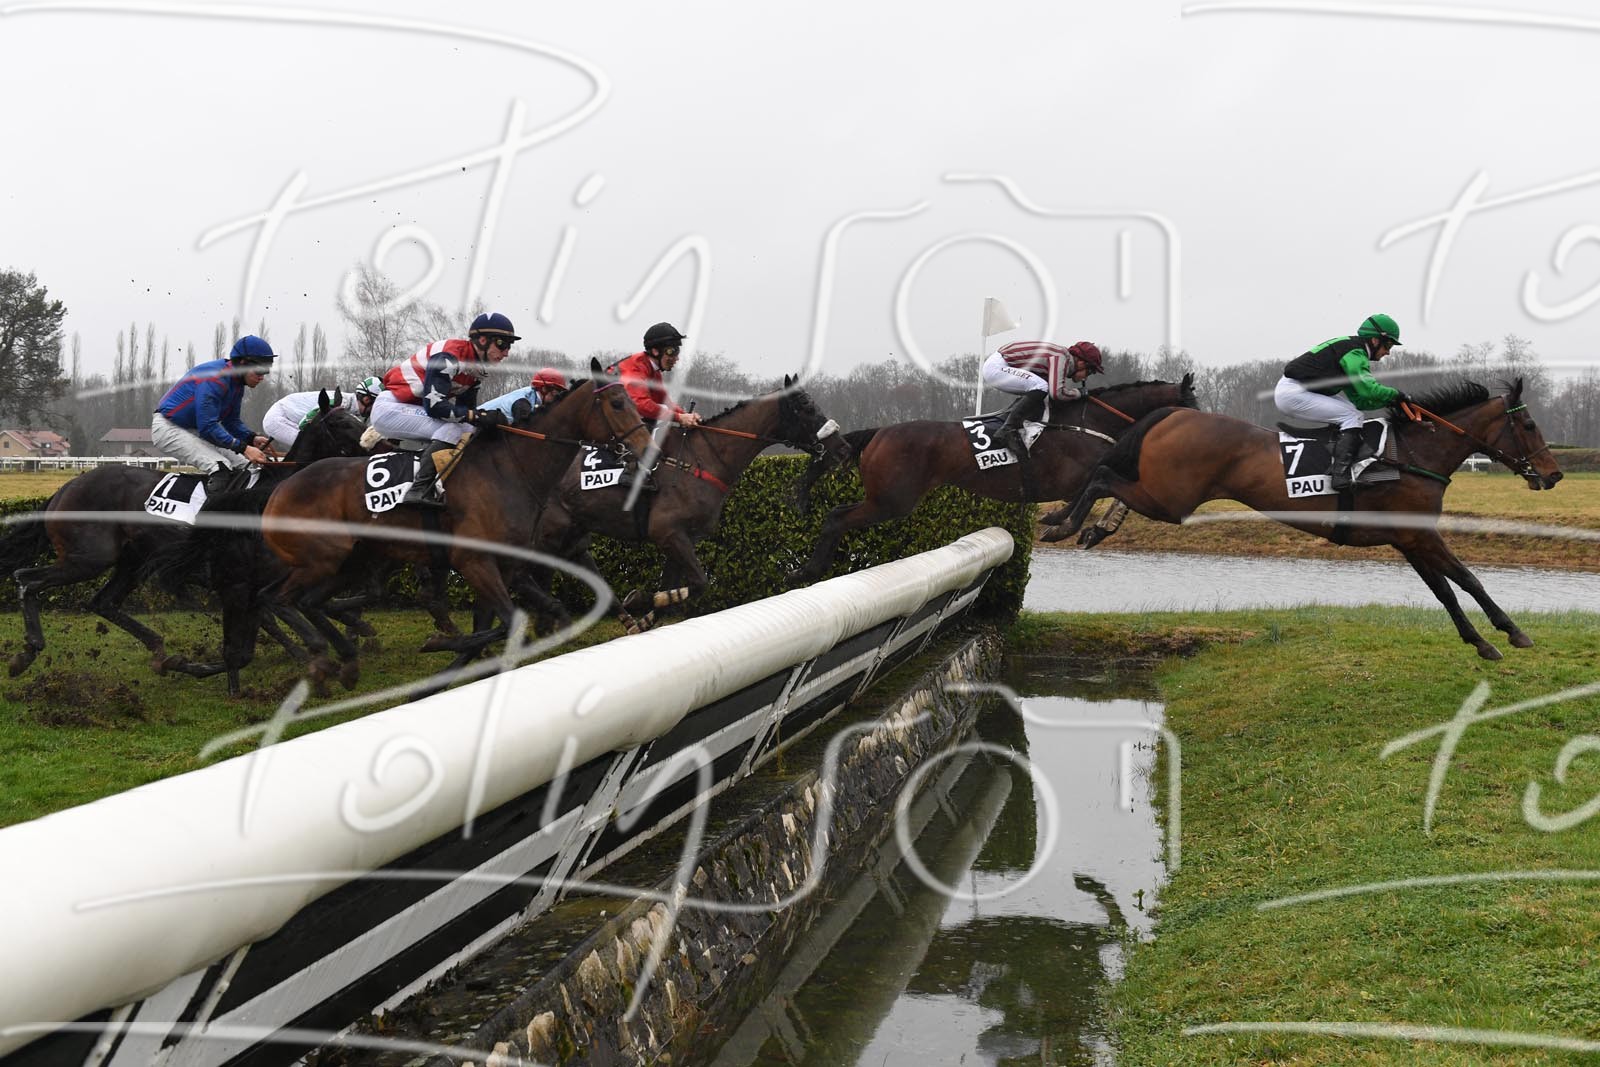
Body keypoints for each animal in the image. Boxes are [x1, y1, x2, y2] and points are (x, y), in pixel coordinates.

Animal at [1, 391, 368, 679]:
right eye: (340, 423)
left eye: (356, 418)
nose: (376, 445)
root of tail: (67, 487)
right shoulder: (245, 580)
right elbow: (277, 621)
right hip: (88, 557)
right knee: (26, 579)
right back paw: (27, 651)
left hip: (132, 561)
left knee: (103, 602)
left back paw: (164, 653)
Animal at [259, 360, 649, 686]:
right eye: (617, 403)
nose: (647, 447)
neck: (510, 468)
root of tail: (281, 488)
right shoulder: (474, 561)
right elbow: (511, 622)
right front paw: (442, 644)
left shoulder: (507, 565)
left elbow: (514, 619)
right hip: (323, 559)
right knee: (280, 600)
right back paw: (320, 656)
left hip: (349, 562)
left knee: (310, 602)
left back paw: (346, 659)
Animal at [531, 375, 852, 631]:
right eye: (807, 407)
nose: (843, 448)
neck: (702, 459)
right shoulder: (668, 532)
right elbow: (699, 583)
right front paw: (640, 599)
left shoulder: (683, 538)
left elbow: (675, 590)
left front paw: (645, 616)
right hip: (551, 530)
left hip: (572, 531)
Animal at [786, 376, 1198, 586]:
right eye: (1193, 405)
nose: (1202, 435)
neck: (1090, 421)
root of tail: (879, 432)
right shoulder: (1077, 474)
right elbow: (1100, 489)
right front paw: (1064, 526)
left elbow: (1110, 492)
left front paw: (1083, 527)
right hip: (892, 500)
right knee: (837, 516)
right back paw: (807, 572)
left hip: (889, 499)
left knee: (837, 516)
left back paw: (809, 571)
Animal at [1042, 378, 1563, 659]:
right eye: (1529, 424)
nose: (1554, 474)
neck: (1414, 454)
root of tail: (1170, 414)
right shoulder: (1421, 537)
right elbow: (1468, 580)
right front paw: (1511, 631)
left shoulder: (1410, 540)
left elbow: (1445, 592)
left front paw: (1480, 641)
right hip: (1173, 499)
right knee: (1103, 475)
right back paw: (1069, 523)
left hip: (1167, 494)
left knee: (1105, 476)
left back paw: (1078, 524)